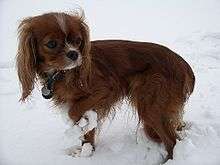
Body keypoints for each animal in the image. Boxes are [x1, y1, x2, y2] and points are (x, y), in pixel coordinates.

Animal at [16, 10, 194, 160]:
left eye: (78, 41)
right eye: (51, 44)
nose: (74, 54)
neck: (61, 73)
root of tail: (182, 64)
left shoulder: (105, 89)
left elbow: (74, 111)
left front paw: (82, 124)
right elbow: (87, 134)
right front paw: (86, 152)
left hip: (150, 107)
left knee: (172, 141)